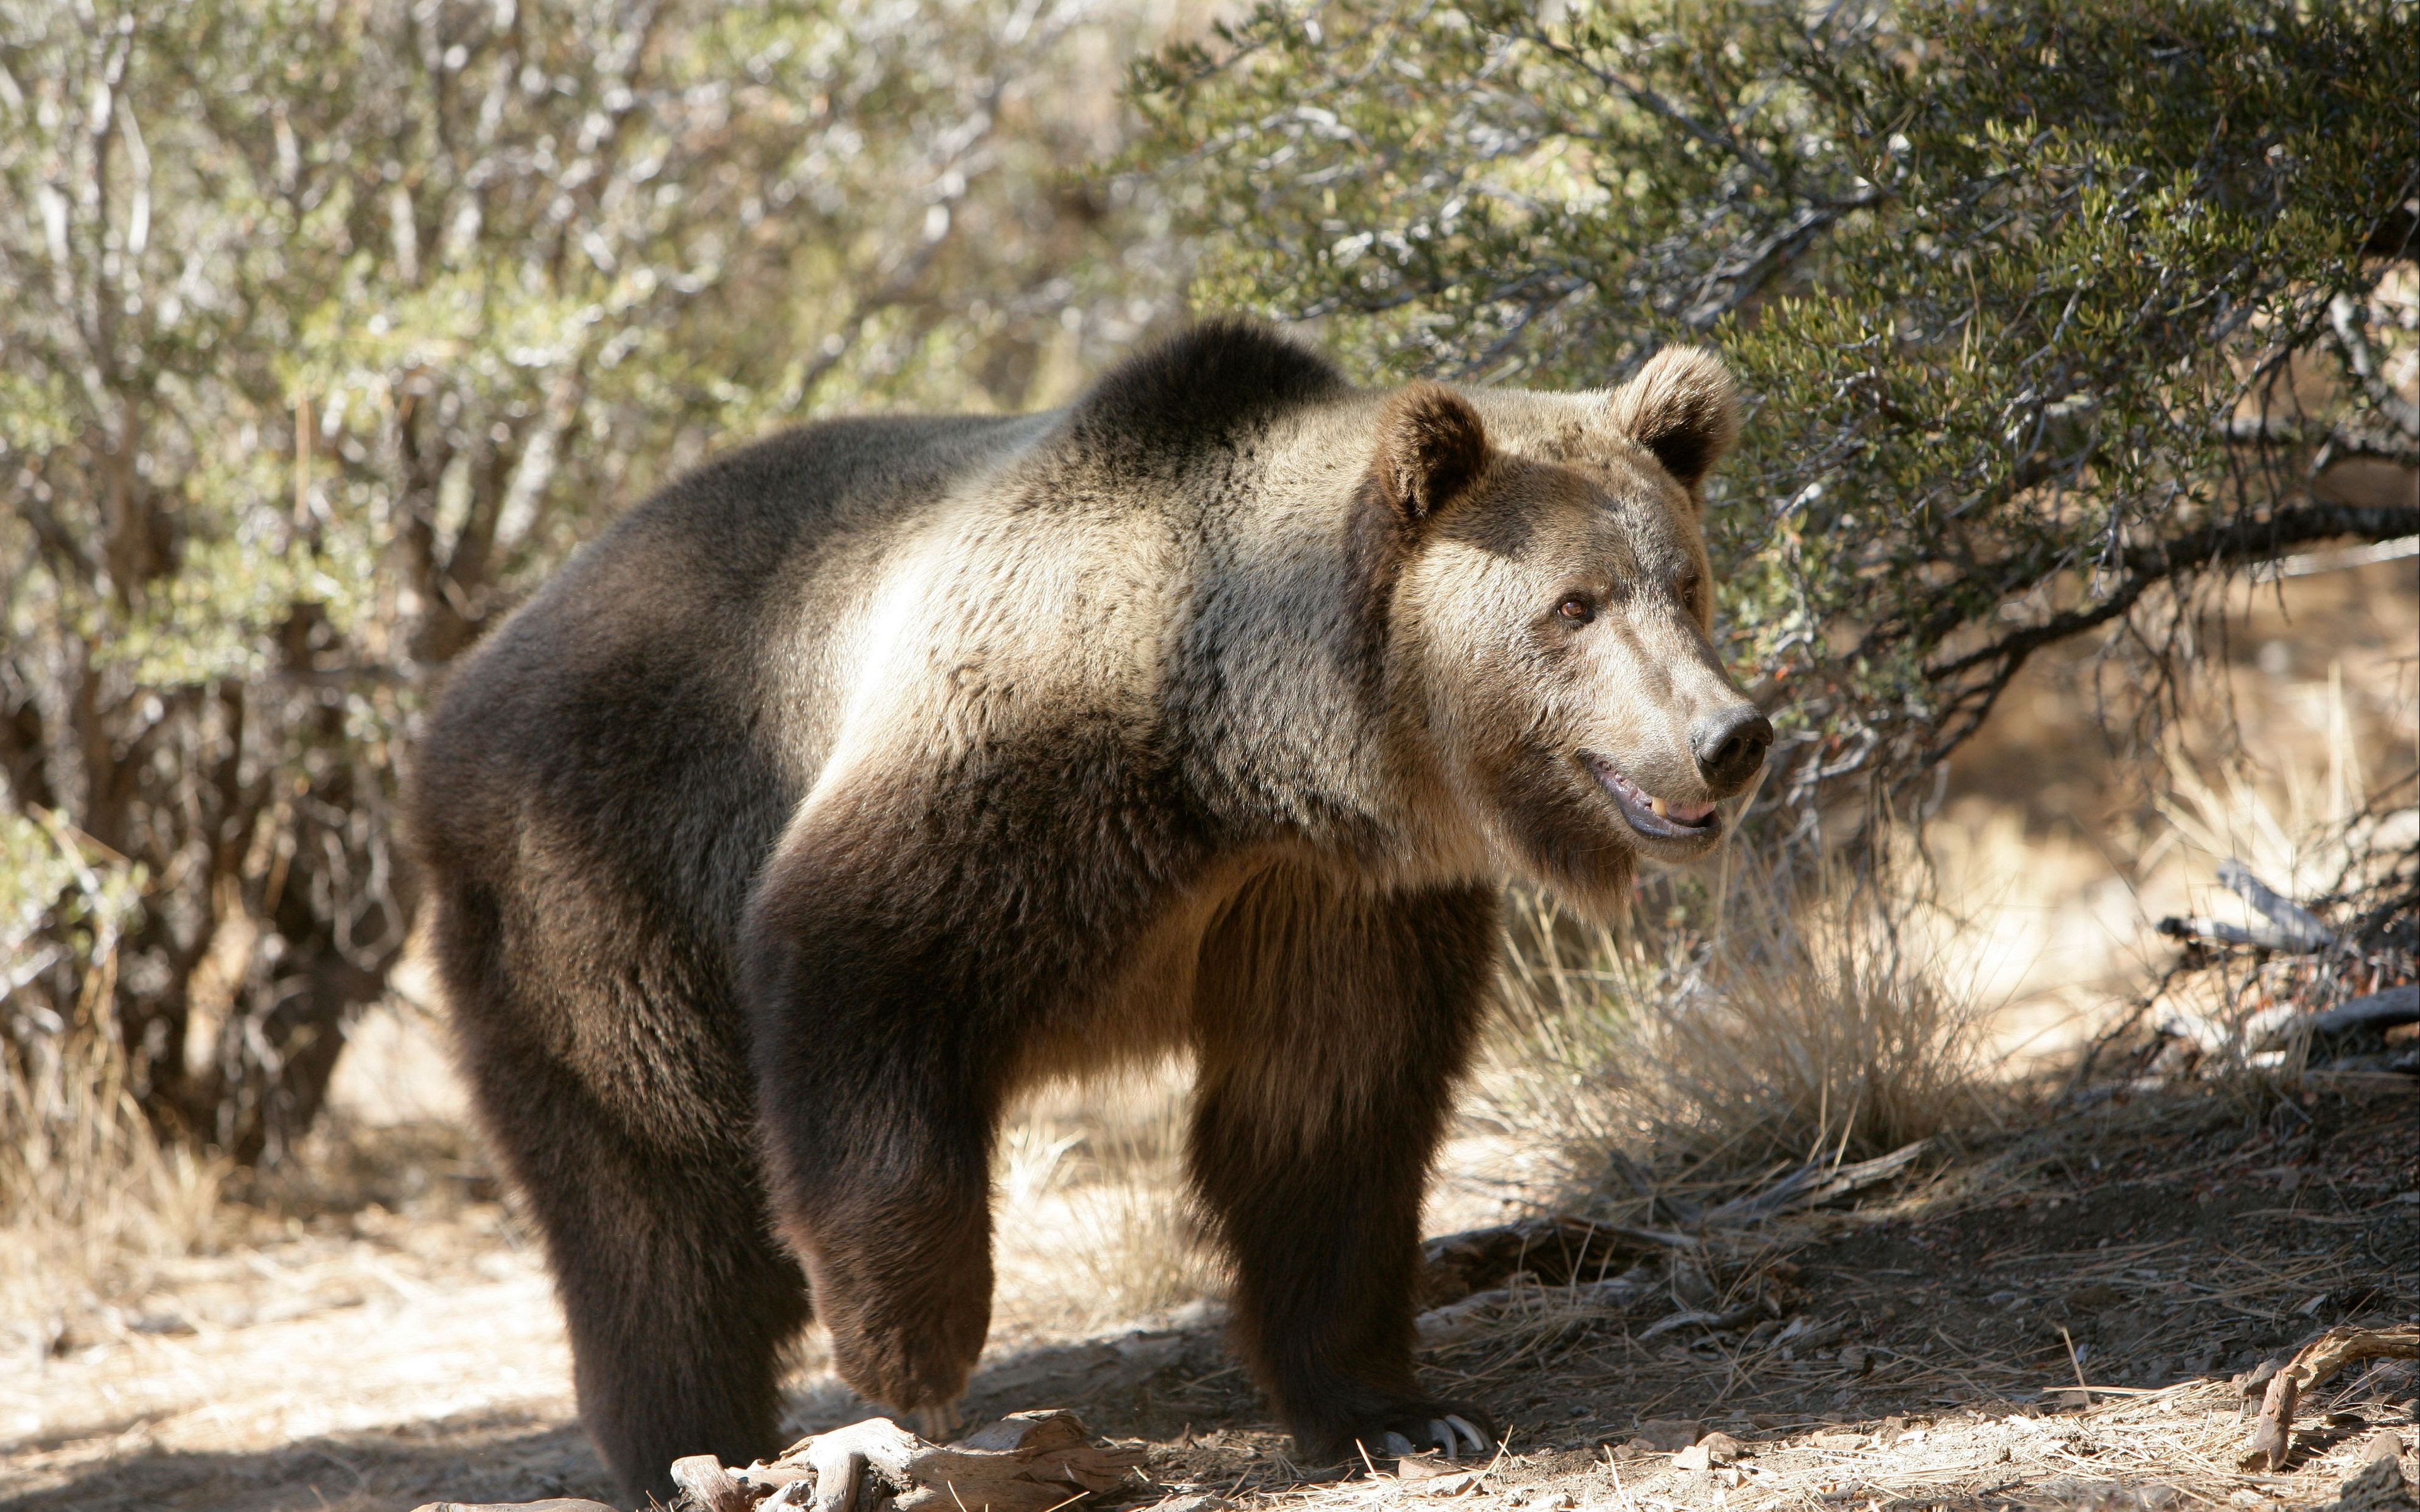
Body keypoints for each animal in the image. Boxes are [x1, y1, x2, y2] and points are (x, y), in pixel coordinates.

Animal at [406, 319, 1771, 1499]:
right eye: (1574, 605)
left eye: (1686, 581)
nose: (1728, 737)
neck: (1247, 758)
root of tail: (466, 683)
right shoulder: (1016, 776)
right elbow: (863, 985)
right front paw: (913, 1352)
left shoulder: (1331, 900)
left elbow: (1328, 1118)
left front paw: (1399, 1410)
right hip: (597, 878)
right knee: (653, 1196)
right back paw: (693, 1446)